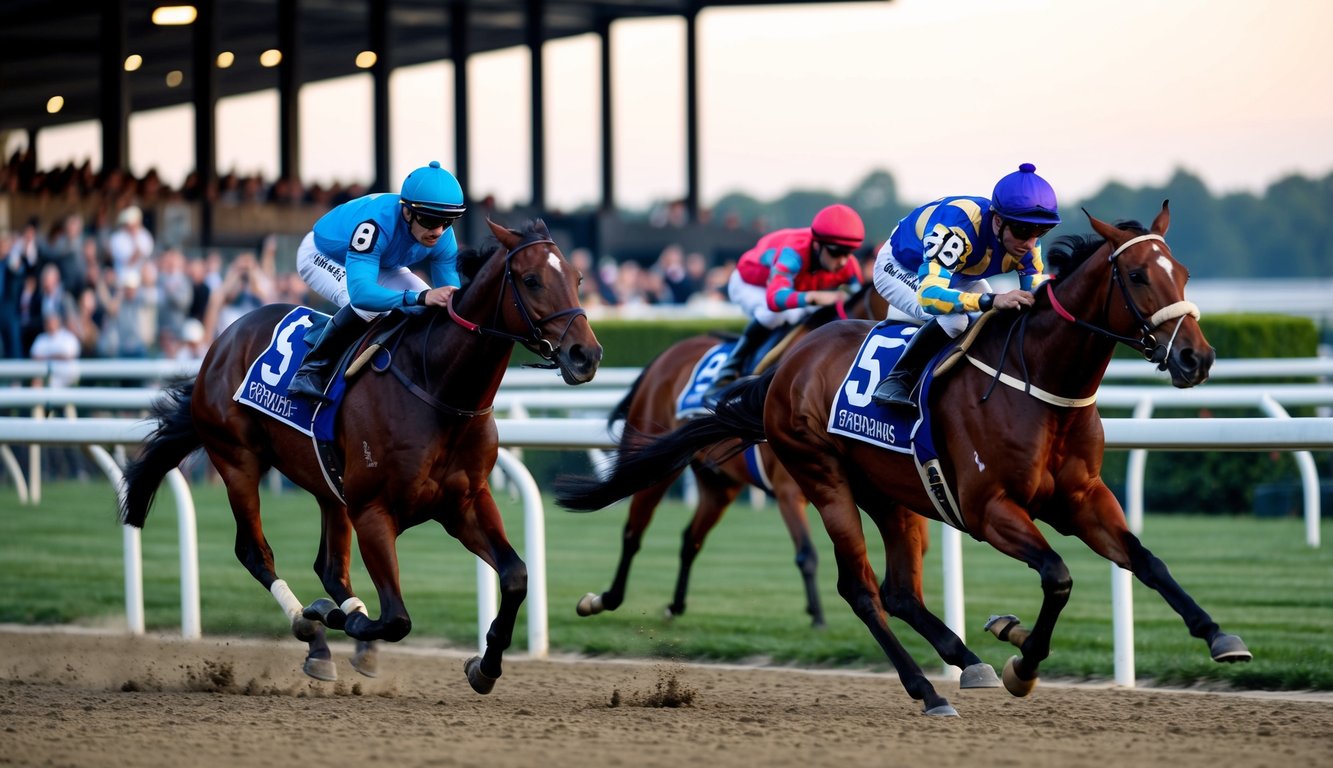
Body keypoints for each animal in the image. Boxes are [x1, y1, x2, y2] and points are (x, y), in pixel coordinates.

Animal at [122, 218, 602, 693]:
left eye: (578, 278)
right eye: (532, 279)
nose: (587, 354)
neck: (439, 387)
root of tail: (221, 342)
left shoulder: (465, 501)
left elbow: (516, 576)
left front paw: (484, 667)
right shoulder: (373, 510)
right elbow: (397, 619)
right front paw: (331, 616)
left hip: (329, 486)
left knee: (330, 567)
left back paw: (332, 637)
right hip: (237, 460)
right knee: (255, 552)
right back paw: (311, 627)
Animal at [581, 285, 901, 626]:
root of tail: (664, 357)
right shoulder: (788, 491)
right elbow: (807, 554)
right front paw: (817, 616)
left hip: (719, 482)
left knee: (691, 539)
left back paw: (675, 605)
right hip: (656, 461)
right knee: (633, 532)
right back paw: (606, 599)